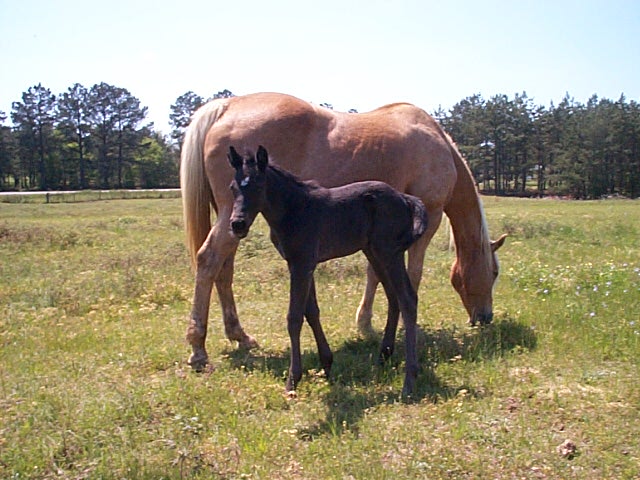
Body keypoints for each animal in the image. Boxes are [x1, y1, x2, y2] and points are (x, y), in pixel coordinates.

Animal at [182, 92, 508, 370]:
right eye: (493, 272)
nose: (486, 318)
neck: (438, 144)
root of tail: (228, 106)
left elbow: (374, 274)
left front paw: (365, 324)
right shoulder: (429, 218)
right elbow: (412, 276)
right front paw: (405, 326)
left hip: (236, 223)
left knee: (223, 271)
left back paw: (239, 336)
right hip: (232, 219)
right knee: (208, 260)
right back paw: (198, 349)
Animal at [228, 147, 428, 398]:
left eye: (257, 185)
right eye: (233, 188)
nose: (237, 224)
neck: (293, 209)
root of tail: (405, 198)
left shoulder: (301, 264)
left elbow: (294, 317)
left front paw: (292, 381)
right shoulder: (303, 264)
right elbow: (311, 312)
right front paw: (326, 364)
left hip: (389, 252)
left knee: (408, 298)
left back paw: (409, 381)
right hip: (374, 252)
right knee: (394, 297)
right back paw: (384, 356)